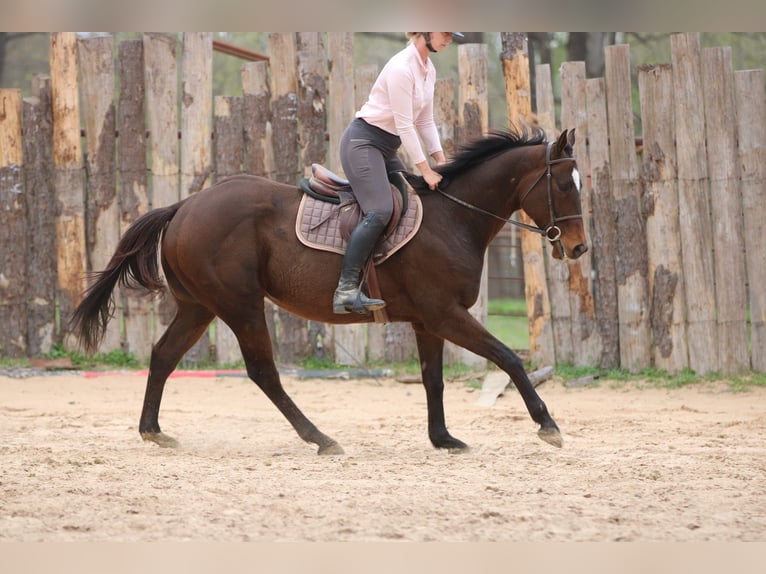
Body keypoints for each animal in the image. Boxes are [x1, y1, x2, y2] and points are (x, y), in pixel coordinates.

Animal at [71, 127, 587, 455]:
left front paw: (443, 439)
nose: (579, 247)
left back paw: (153, 431)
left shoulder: (428, 322)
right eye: (564, 184)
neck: (454, 217)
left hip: (199, 307)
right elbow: (509, 358)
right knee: (263, 372)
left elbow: (433, 379)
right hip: (240, 306)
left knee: (163, 355)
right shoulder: (446, 314)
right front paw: (548, 426)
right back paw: (320, 439)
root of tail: (185, 205)